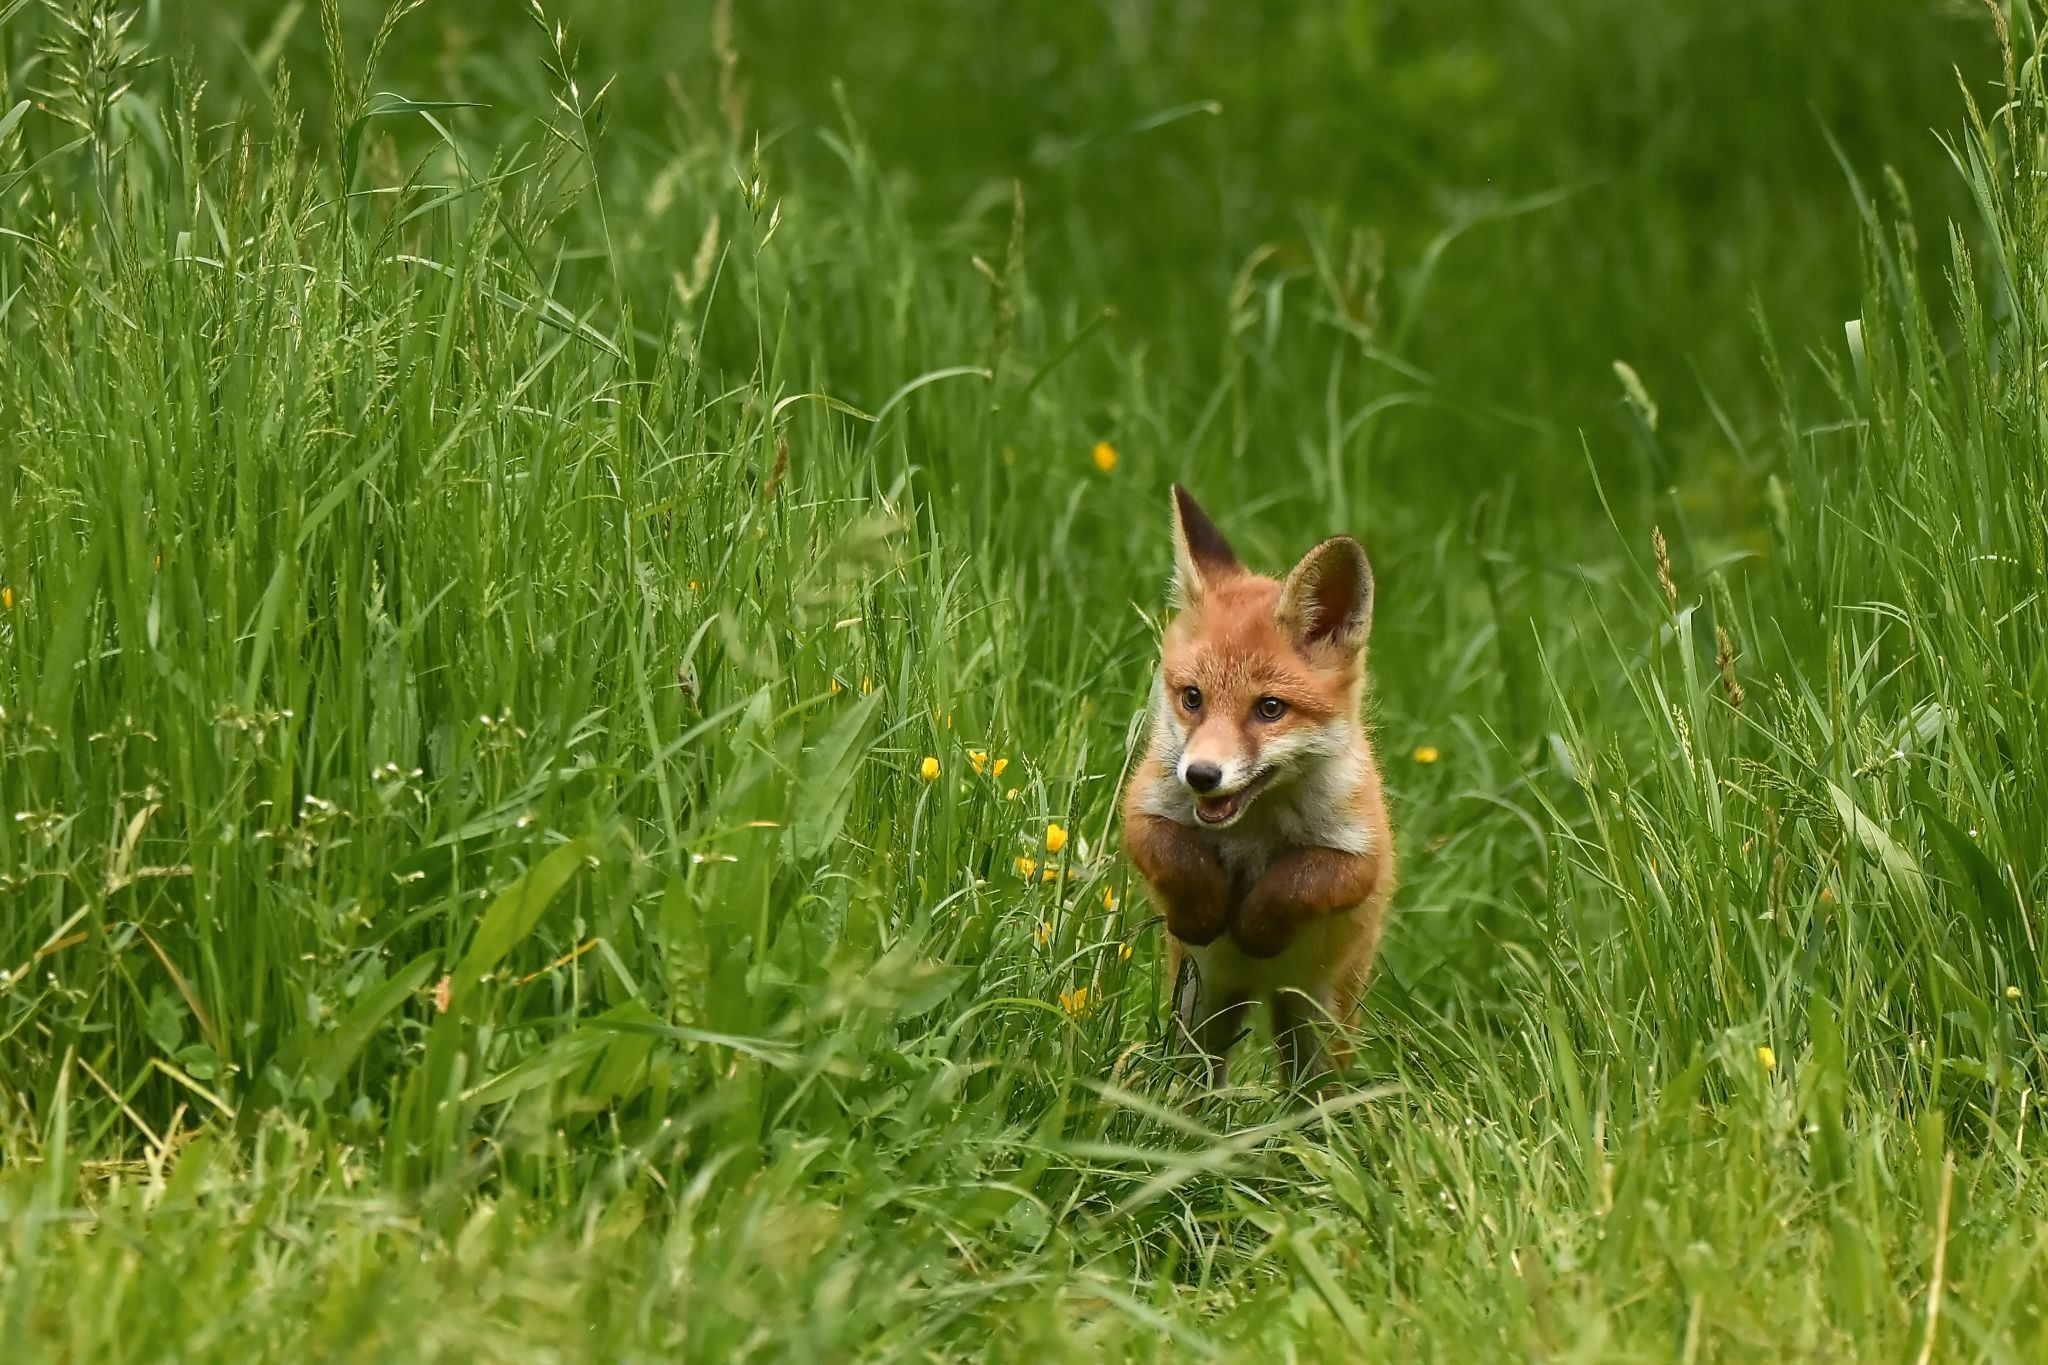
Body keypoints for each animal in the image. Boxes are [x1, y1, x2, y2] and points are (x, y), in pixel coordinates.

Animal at [1122, 485, 1392, 1080]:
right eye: (1192, 697)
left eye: (1270, 709)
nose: (1201, 775)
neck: (1253, 827)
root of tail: (1258, 991)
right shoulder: (1142, 810)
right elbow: (1178, 852)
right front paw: (1204, 915)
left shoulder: (1361, 854)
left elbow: (1298, 878)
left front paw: (1253, 928)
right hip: (1196, 1013)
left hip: (1319, 1029)